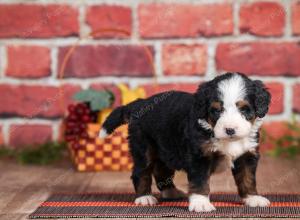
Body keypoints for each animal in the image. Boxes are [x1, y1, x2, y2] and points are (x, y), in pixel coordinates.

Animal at [99, 73, 272, 212]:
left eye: (244, 109)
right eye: (216, 110)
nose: (230, 130)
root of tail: (140, 104)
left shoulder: (247, 154)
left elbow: (247, 178)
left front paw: (253, 198)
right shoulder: (199, 156)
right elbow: (200, 181)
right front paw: (201, 203)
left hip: (166, 149)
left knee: (161, 172)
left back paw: (171, 192)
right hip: (143, 147)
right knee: (141, 172)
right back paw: (144, 197)